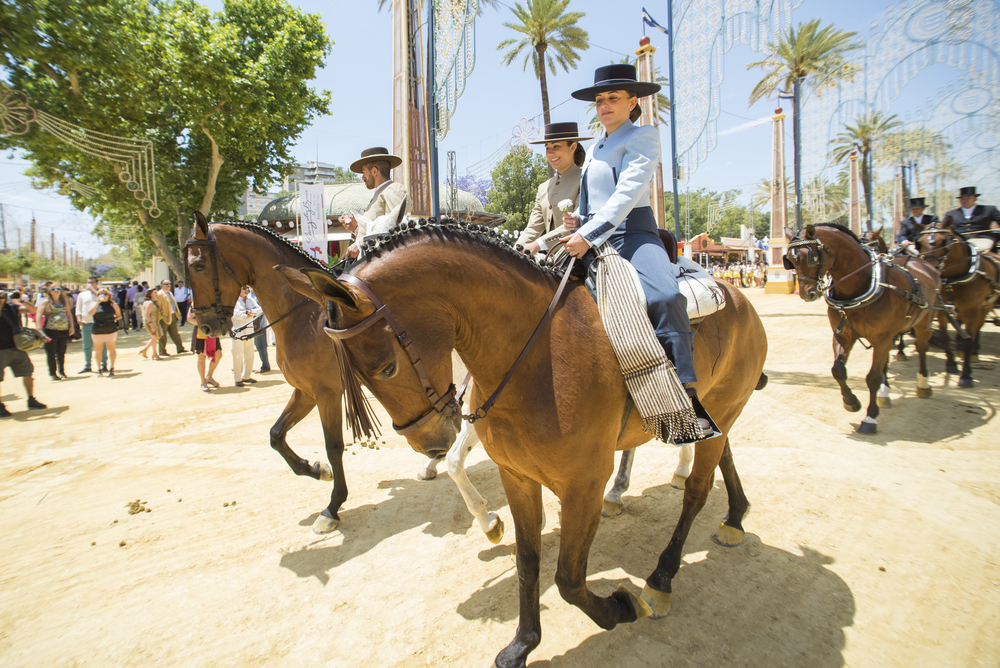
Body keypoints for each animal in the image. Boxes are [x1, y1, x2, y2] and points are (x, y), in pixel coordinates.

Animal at [184, 214, 504, 544]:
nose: (205, 325)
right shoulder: (305, 392)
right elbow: (276, 435)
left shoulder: (326, 393)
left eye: (198, 266)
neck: (304, 320)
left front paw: (332, 506)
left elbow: (333, 446)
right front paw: (315, 470)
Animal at [280, 220, 764, 668]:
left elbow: (569, 578)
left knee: (696, 492)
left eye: (386, 368)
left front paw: (621, 607)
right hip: (717, 415)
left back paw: (662, 577)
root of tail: (737, 297)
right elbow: (528, 562)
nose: (429, 442)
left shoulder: (584, 484)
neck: (538, 354)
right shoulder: (516, 476)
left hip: (719, 409)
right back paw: (734, 516)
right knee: (722, 454)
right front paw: (523, 643)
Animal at [784, 222, 940, 436]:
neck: (858, 287)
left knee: (922, 347)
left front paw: (870, 417)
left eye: (812, 256)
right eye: (790, 260)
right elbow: (838, 370)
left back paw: (923, 383)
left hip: (924, 321)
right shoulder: (843, 335)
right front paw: (851, 402)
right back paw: (885, 392)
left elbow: (872, 377)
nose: (808, 294)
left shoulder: (883, 338)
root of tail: (921, 263)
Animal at [916, 217, 1000, 388]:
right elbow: (945, 337)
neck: (953, 279)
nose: (929, 269)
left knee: (977, 328)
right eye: (919, 243)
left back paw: (973, 352)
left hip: (984, 306)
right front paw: (951, 364)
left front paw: (966, 375)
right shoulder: (942, 309)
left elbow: (969, 337)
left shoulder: (973, 309)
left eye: (945, 241)